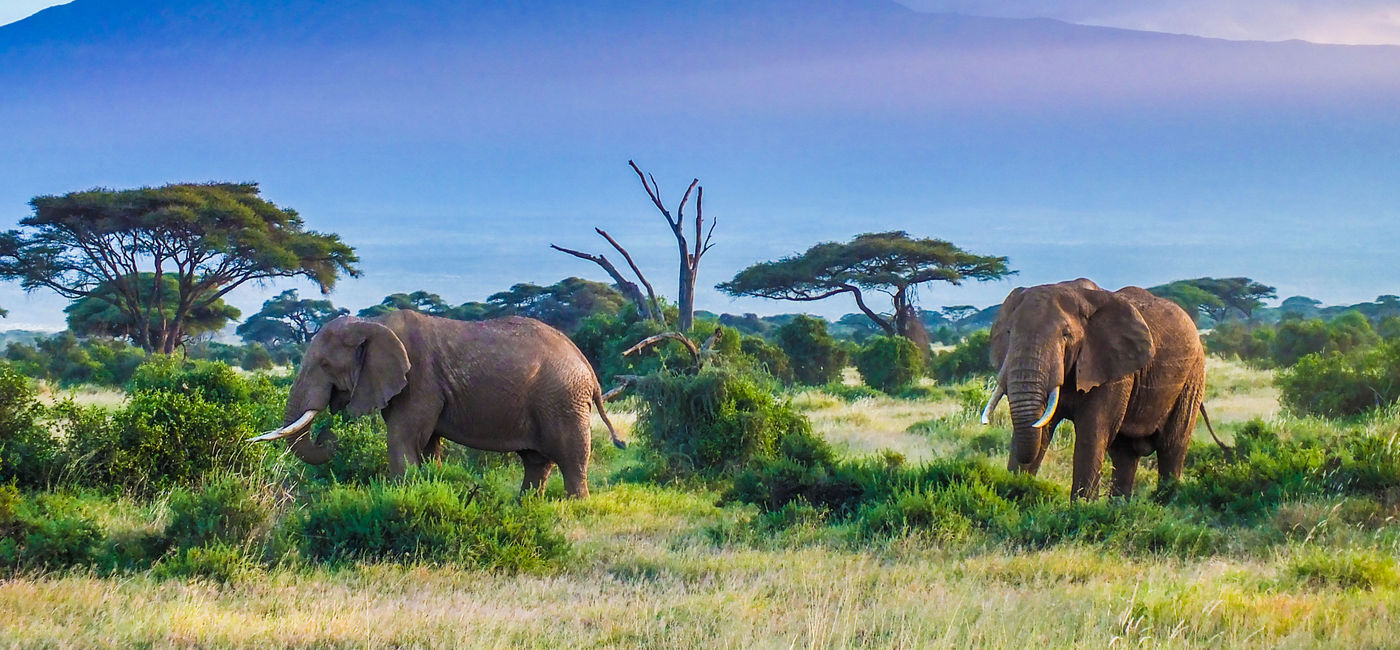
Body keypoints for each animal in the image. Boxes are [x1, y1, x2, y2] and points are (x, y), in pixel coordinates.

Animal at [249, 309, 627, 498]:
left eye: (325, 365)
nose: (329, 436)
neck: (373, 324)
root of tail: (588, 368)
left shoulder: (420, 380)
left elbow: (403, 439)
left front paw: (402, 497)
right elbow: (427, 444)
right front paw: (429, 486)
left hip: (563, 399)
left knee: (571, 456)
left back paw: (575, 506)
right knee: (536, 461)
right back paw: (525, 506)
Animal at [985, 277, 1215, 498]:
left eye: (1065, 335)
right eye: (1009, 332)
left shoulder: (1113, 369)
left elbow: (1092, 432)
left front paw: (1082, 507)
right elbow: (1042, 427)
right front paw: (1014, 493)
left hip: (1193, 377)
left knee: (1172, 446)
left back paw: (1164, 500)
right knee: (1124, 453)